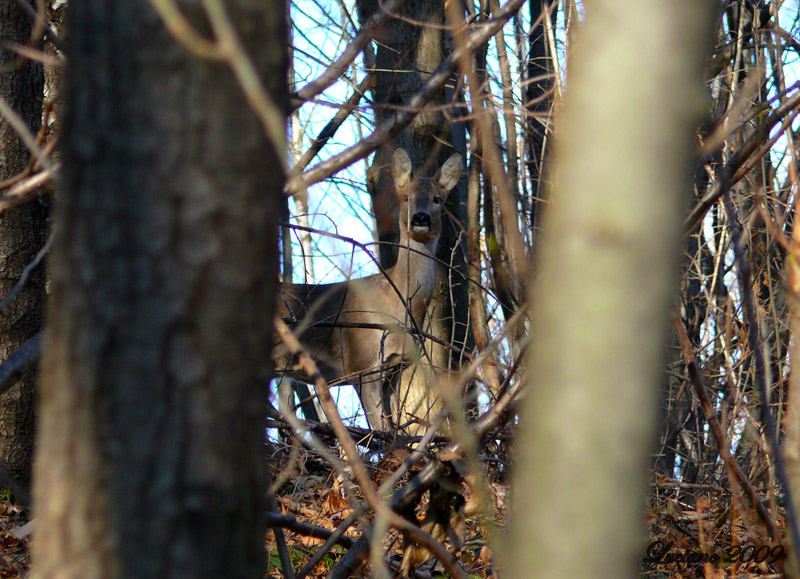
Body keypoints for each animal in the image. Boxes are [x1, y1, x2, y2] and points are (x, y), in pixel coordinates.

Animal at [276, 150, 462, 430]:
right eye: (406, 197)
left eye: (436, 199)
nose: (420, 218)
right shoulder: (361, 365)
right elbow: (380, 430)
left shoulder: (395, 368)